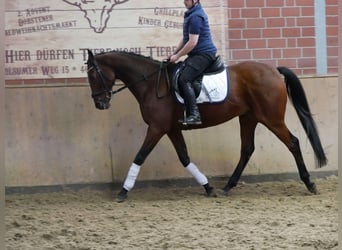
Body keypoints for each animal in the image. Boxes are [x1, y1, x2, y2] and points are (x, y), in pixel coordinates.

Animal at [85, 49, 326, 203]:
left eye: (93, 75)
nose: (99, 103)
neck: (150, 83)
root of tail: (274, 70)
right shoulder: (171, 129)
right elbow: (184, 158)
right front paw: (208, 187)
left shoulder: (156, 128)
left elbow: (140, 157)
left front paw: (123, 192)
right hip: (249, 118)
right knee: (247, 149)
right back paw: (228, 186)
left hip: (271, 119)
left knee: (292, 142)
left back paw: (309, 183)